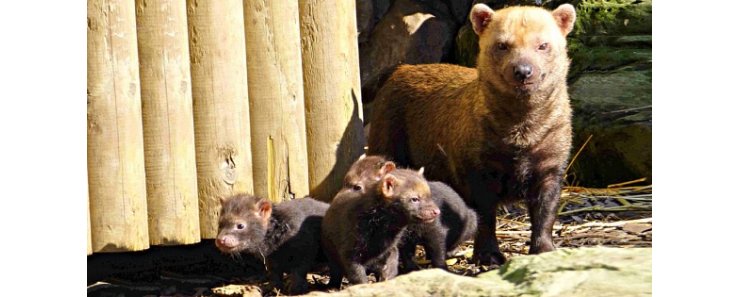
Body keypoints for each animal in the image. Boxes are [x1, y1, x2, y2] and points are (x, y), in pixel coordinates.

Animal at [342, 156, 476, 272]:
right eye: (345, 180)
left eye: (357, 187)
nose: (340, 198)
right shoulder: (402, 240)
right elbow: (407, 256)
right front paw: (411, 269)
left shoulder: (436, 230)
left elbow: (438, 252)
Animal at [370, 4, 580, 264]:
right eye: (502, 45)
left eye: (543, 45)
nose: (523, 71)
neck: (521, 134)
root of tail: (400, 69)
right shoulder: (476, 164)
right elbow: (484, 214)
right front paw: (488, 255)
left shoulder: (551, 160)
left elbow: (546, 209)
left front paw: (544, 248)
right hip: (388, 135)